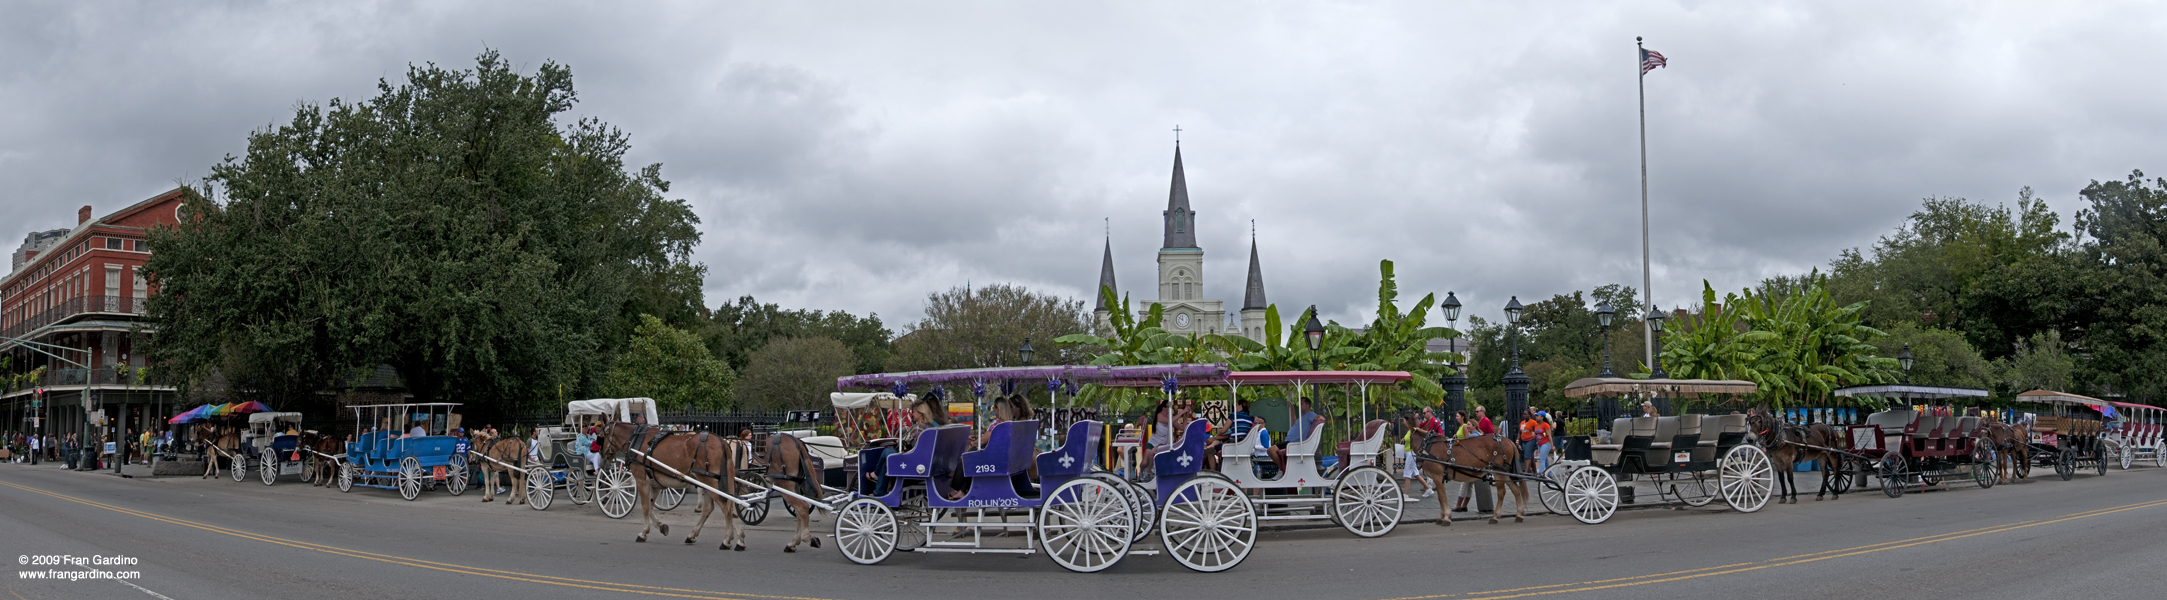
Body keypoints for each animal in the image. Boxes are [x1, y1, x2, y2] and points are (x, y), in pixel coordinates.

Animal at [598, 418, 749, 548]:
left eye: (600, 436)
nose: (602, 457)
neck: (635, 440)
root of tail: (722, 442)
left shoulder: (642, 481)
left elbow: (645, 507)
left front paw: (643, 532)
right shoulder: (655, 484)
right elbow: (651, 507)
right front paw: (660, 527)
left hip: (710, 481)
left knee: (726, 505)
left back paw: (728, 539)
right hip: (707, 482)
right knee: (712, 507)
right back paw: (695, 535)